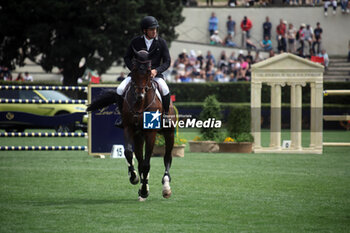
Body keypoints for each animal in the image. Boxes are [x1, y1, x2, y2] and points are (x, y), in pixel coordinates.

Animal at [87, 48, 175, 200]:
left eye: (149, 71)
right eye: (134, 69)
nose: (140, 94)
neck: (140, 104)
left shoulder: (150, 133)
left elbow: (146, 164)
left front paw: (145, 190)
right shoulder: (129, 128)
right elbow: (129, 154)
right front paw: (135, 179)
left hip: (169, 133)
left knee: (167, 157)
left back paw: (166, 187)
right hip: (139, 137)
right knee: (140, 160)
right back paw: (142, 187)